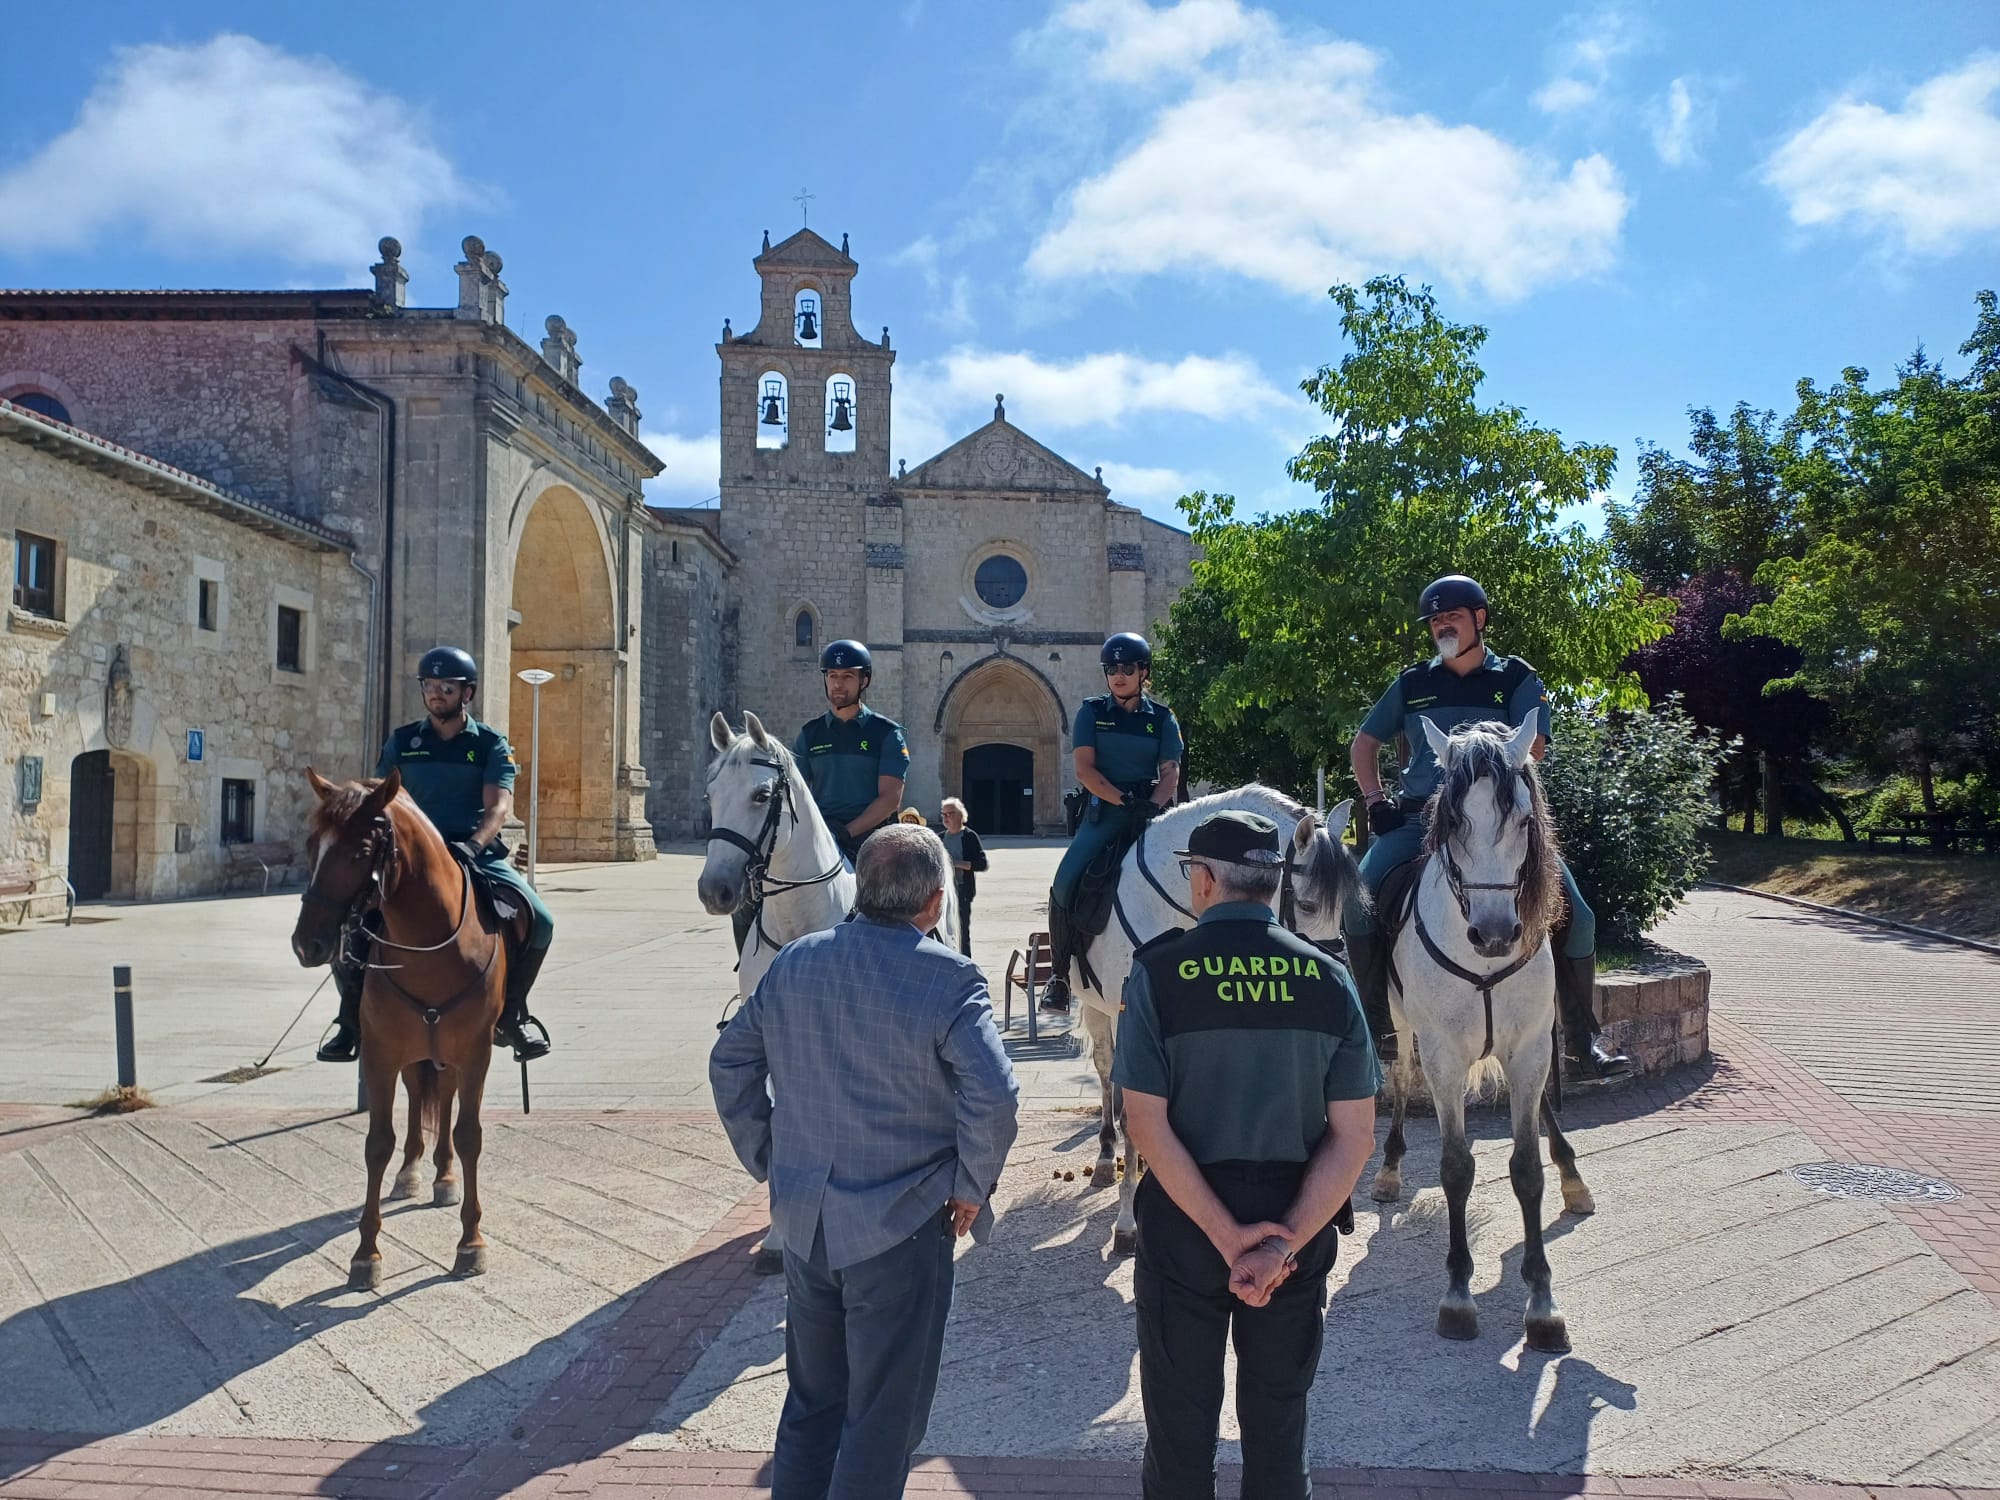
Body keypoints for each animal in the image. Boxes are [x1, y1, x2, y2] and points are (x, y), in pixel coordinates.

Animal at [290, 776, 508, 1296]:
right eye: (311, 844)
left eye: (361, 850)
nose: (306, 944)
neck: (431, 945)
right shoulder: (381, 1055)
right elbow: (378, 1143)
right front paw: (366, 1253)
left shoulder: (475, 1054)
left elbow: (468, 1136)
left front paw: (471, 1242)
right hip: (416, 1053)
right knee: (421, 1097)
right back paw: (411, 1173)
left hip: (446, 1052)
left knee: (444, 1099)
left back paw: (444, 1176)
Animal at [1072, 788, 1368, 1256]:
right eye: (1307, 904)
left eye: (1343, 907)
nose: (1337, 975)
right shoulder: (1128, 1019)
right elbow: (1134, 1120)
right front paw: (1127, 1225)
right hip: (1097, 1013)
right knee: (1105, 1074)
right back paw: (1105, 1158)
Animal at [1376, 720, 1592, 1360]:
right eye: (1451, 821)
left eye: (1523, 819)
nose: (1496, 934)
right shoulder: (1444, 1057)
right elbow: (1455, 1167)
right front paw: (1457, 1295)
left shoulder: (1531, 1049)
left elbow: (1525, 1168)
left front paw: (1542, 1303)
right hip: (1402, 1024)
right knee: (1400, 1078)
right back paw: (1389, 1171)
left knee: (1544, 1108)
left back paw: (1573, 1177)